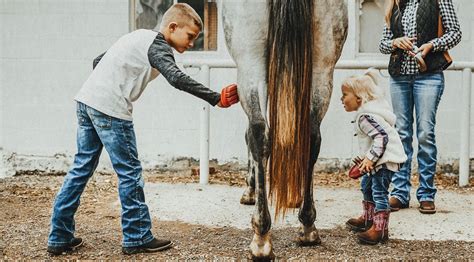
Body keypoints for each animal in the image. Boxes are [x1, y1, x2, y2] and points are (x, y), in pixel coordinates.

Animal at [221, 0, 348, 258]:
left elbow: (249, 136)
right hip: (322, 67)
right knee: (311, 136)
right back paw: (308, 227)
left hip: (250, 63)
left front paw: (250, 190)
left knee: (258, 134)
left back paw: (261, 237)